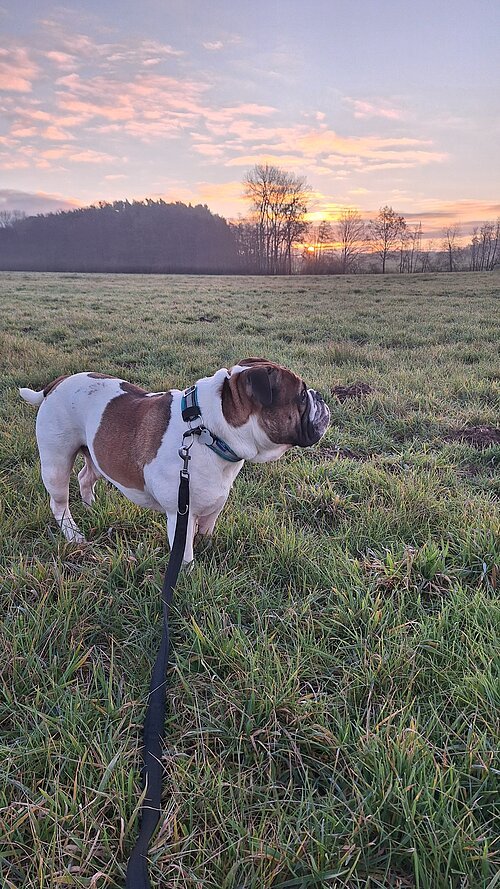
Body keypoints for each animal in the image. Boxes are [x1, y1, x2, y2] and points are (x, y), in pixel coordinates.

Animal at [19, 356, 330, 560]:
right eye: (302, 396)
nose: (320, 397)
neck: (208, 430)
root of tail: (56, 384)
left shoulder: (212, 507)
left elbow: (205, 534)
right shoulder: (180, 515)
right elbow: (186, 555)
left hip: (96, 453)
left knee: (86, 477)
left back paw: (91, 507)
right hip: (56, 463)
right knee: (59, 503)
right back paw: (74, 535)